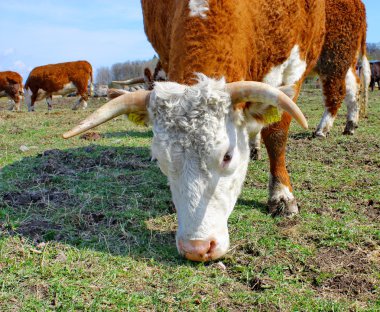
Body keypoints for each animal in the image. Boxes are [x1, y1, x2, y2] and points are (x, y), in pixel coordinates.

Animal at [63, 1, 368, 262]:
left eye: (227, 156)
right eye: (161, 160)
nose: (197, 248)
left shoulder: (294, 66)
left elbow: (276, 135)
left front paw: (281, 195)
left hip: (337, 55)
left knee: (346, 86)